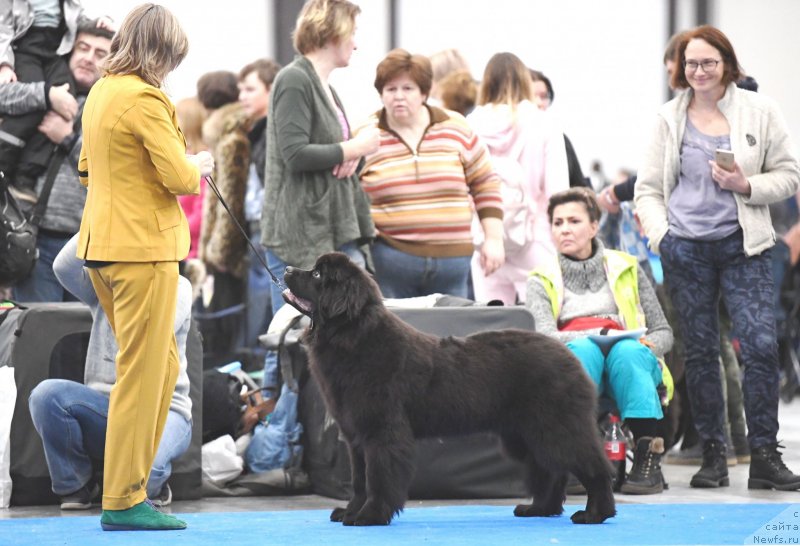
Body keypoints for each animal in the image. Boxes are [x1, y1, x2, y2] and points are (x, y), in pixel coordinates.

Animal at [284, 251, 616, 524]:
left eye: (317, 275)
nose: (286, 269)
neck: (353, 335)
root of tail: (570, 355)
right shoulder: (356, 437)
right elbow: (358, 480)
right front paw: (350, 513)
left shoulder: (382, 432)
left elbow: (378, 477)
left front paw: (370, 516)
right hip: (525, 434)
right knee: (550, 470)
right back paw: (538, 509)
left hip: (557, 427)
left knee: (594, 467)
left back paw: (594, 514)